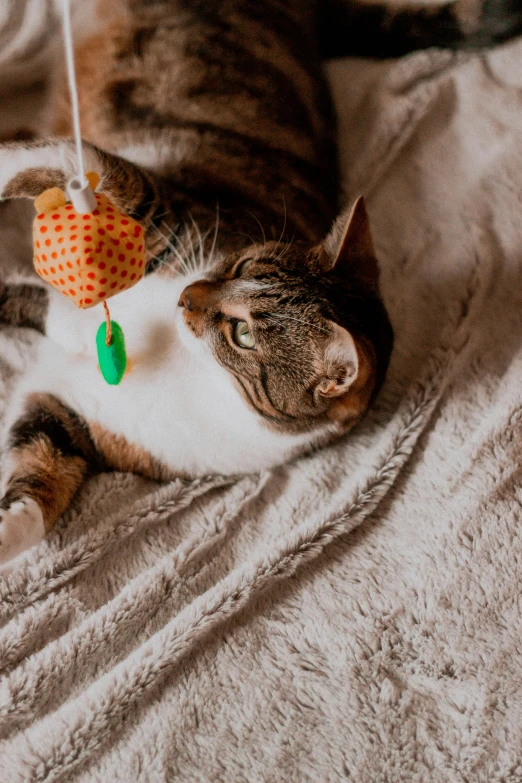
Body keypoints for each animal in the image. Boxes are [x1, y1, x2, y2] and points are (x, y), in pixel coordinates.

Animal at [1, 0, 516, 568]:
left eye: (244, 335)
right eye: (239, 264)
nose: (186, 295)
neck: (188, 363)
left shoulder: (77, 416)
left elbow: (40, 474)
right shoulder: (157, 213)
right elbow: (73, 164)